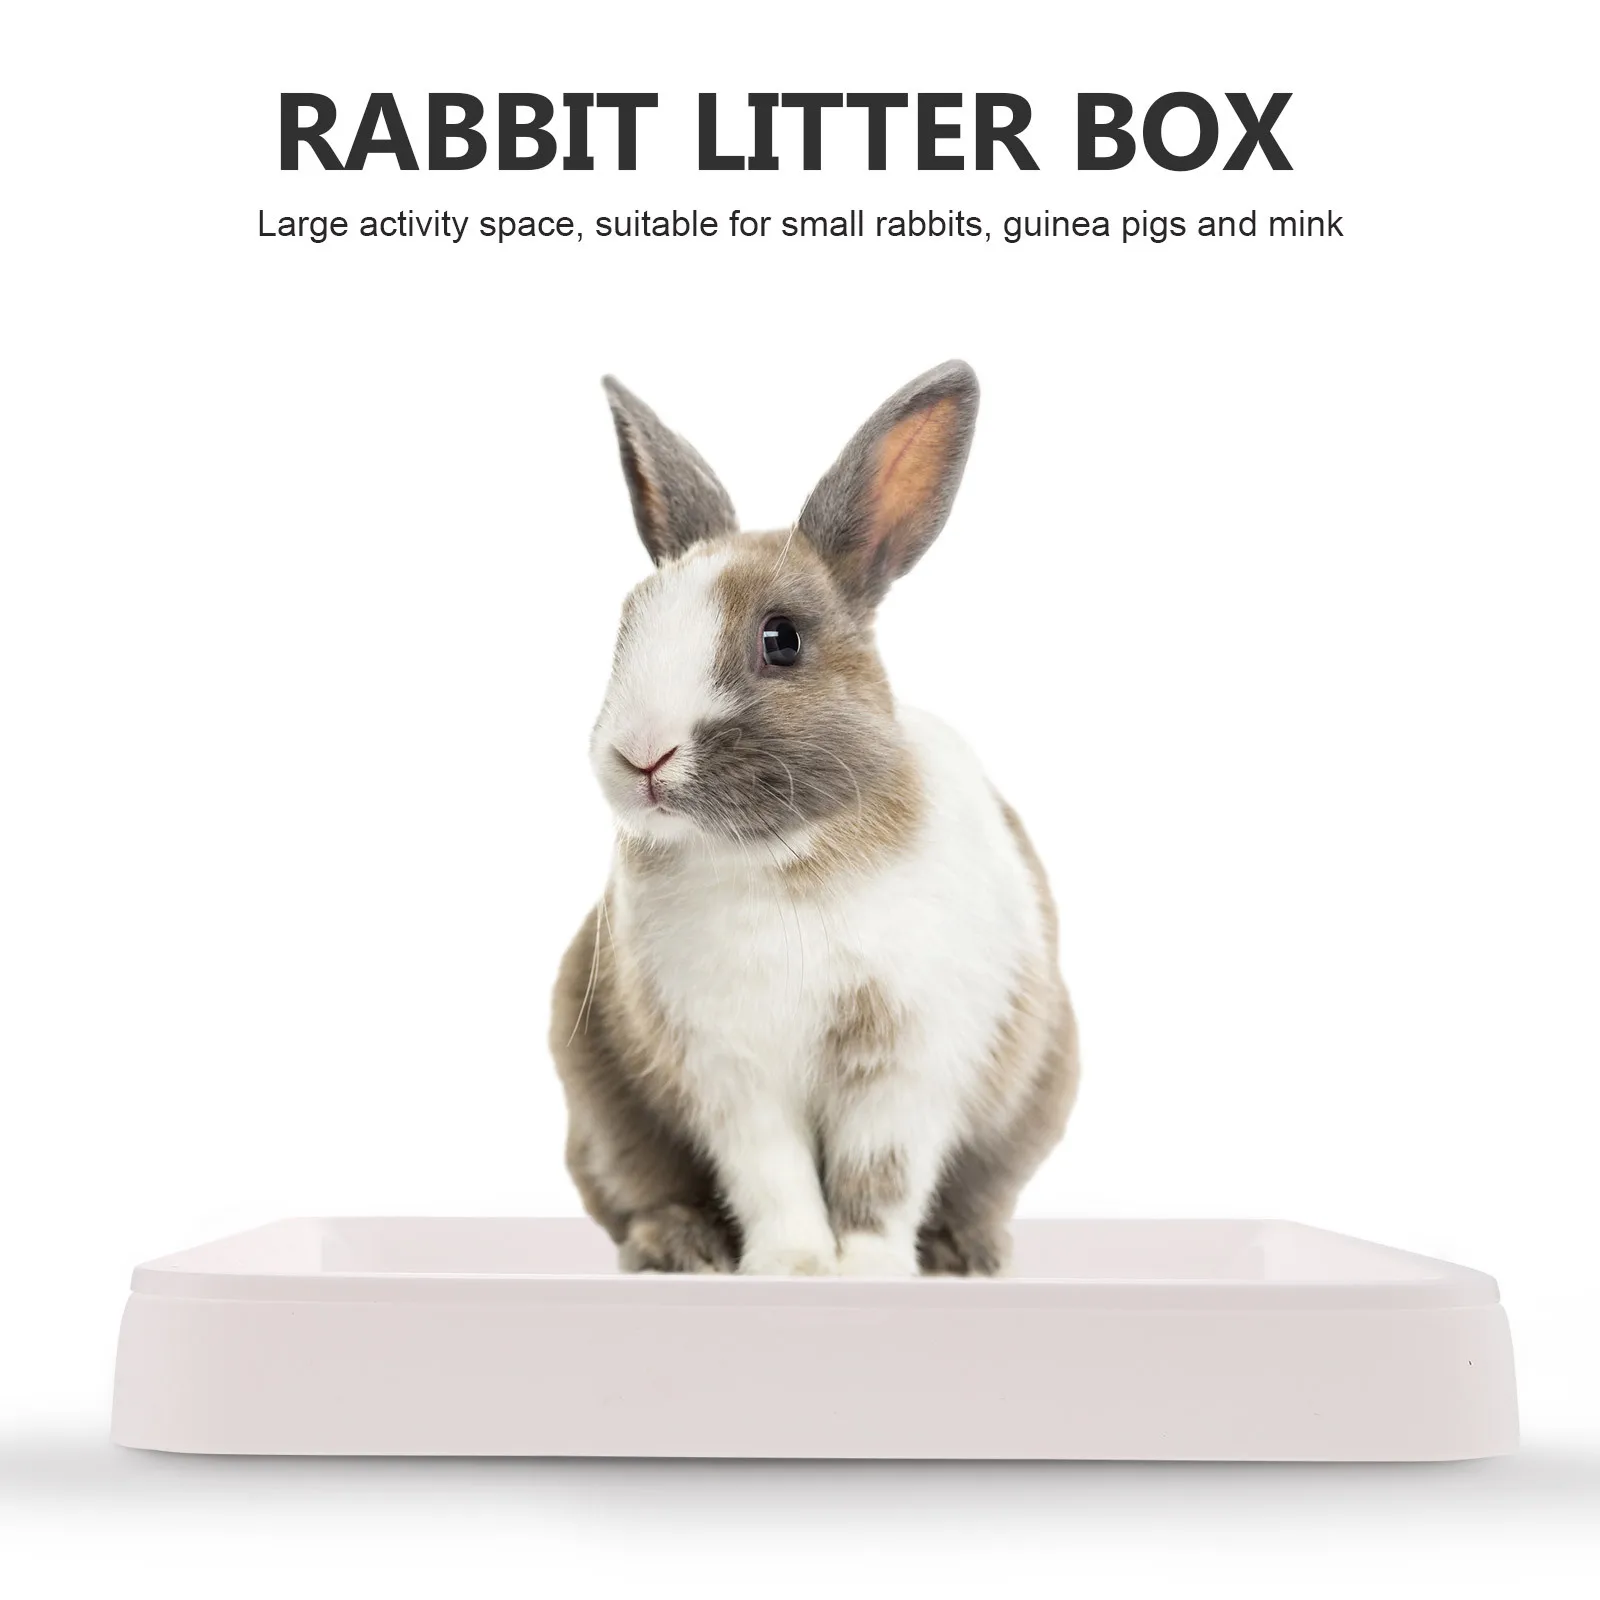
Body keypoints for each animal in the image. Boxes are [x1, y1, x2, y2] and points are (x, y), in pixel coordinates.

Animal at [550, 360, 1079, 1276]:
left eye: (782, 639)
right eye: (626, 629)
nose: (641, 755)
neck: (779, 860)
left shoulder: (905, 1064)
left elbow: (880, 1178)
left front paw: (866, 1268)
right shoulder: (732, 1074)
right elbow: (774, 1177)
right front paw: (793, 1264)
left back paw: (965, 1254)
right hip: (602, 1116)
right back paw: (680, 1248)